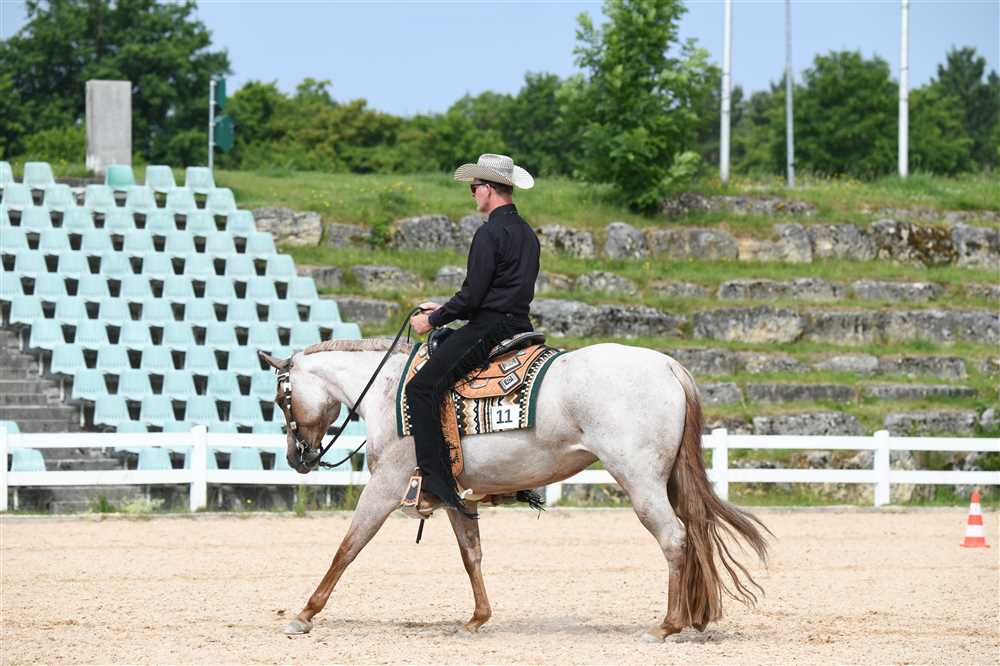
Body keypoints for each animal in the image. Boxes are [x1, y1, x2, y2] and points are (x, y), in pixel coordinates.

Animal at [259, 338, 769, 642]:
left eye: (281, 397)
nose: (297, 458)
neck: (389, 393)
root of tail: (666, 365)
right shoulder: (453, 494)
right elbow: (471, 554)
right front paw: (477, 618)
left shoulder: (385, 487)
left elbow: (348, 547)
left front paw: (304, 614)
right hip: (667, 481)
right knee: (695, 532)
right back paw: (694, 619)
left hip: (641, 481)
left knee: (674, 538)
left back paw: (666, 626)